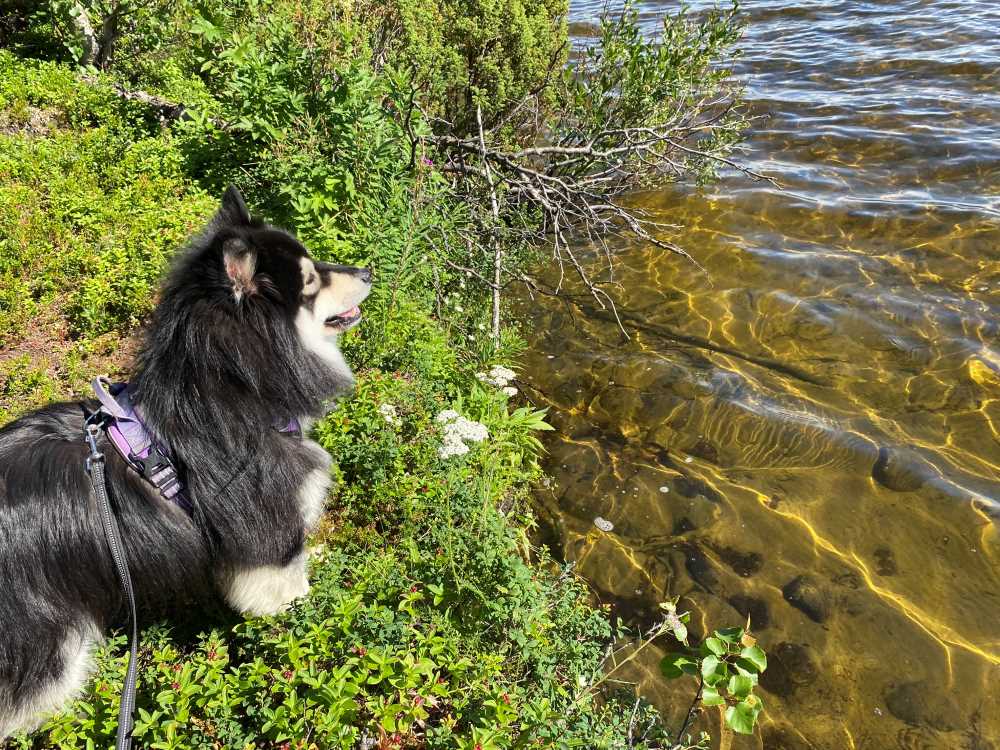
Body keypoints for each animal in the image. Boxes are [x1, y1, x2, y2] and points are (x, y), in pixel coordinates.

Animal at [0, 185, 372, 736]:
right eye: (311, 280)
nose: (367, 270)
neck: (238, 389)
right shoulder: (268, 533)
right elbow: (287, 587)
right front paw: (307, 620)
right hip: (48, 643)